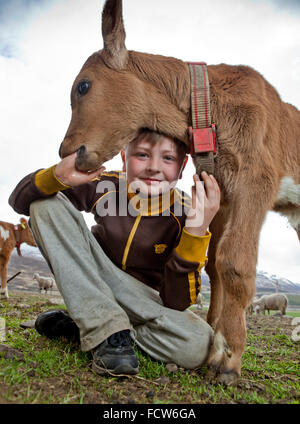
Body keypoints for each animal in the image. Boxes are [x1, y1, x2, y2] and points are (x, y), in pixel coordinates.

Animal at [57, 0, 298, 384]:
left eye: (82, 86)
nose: (66, 150)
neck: (209, 107)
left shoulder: (255, 182)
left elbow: (235, 264)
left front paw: (227, 359)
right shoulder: (222, 193)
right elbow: (214, 263)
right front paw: (214, 338)